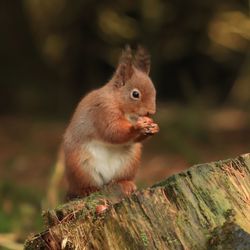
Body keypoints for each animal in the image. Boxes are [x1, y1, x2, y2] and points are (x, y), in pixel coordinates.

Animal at [63, 46, 159, 199]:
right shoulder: (103, 111)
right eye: (135, 94)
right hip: (80, 166)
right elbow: (112, 131)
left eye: (154, 91)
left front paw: (153, 127)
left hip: (129, 162)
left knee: (120, 179)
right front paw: (137, 127)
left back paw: (125, 184)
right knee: (82, 185)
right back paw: (87, 190)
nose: (151, 112)